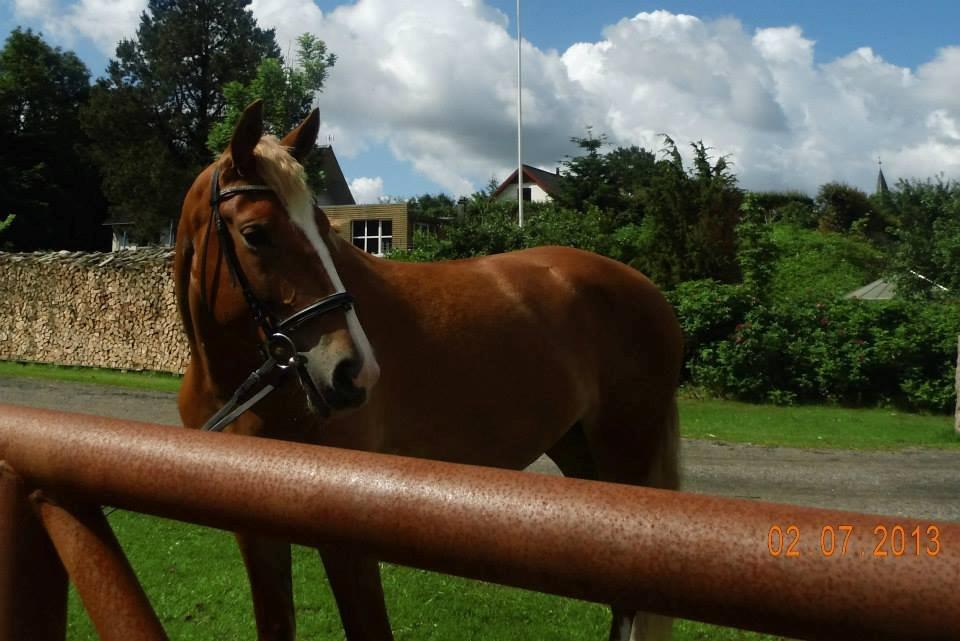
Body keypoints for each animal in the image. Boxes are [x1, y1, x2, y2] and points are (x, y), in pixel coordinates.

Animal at [172, 101, 684, 640]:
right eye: (255, 234)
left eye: (323, 228)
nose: (354, 372)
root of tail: (647, 289)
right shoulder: (254, 533)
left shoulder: (345, 539)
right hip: (581, 454)